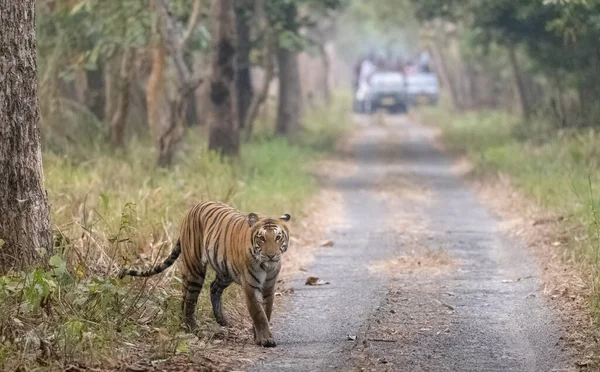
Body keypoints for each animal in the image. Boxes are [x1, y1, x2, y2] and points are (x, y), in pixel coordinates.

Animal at [118, 202, 290, 348]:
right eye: (261, 238)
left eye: (278, 237)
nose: (271, 255)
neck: (267, 266)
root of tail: (192, 209)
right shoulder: (250, 286)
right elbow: (259, 313)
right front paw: (265, 339)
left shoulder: (268, 286)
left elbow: (267, 311)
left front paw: (259, 335)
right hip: (195, 269)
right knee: (189, 299)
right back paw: (192, 328)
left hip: (225, 271)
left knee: (212, 287)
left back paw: (221, 320)